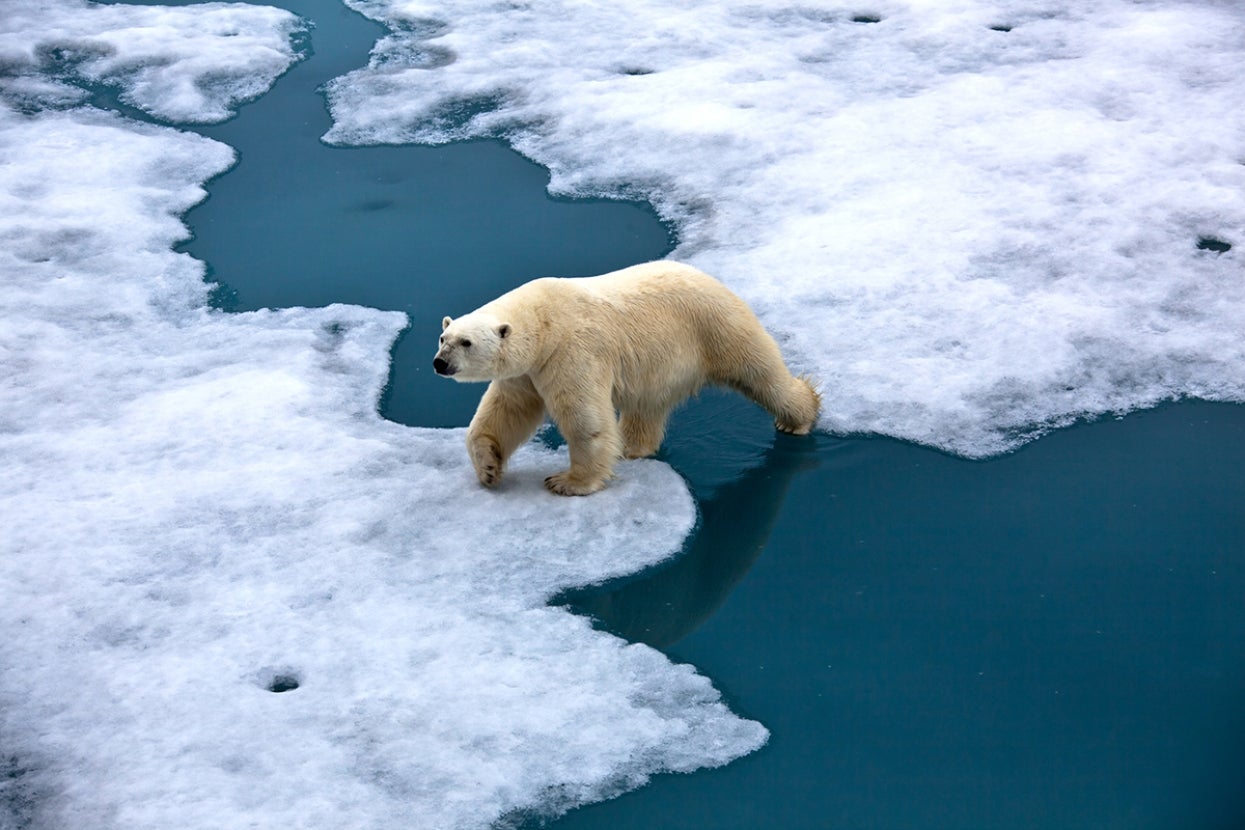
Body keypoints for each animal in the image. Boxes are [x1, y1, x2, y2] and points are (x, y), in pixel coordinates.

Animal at [433, 260, 820, 496]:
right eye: (443, 338)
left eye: (466, 342)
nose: (439, 363)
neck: (545, 320)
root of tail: (714, 279)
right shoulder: (527, 371)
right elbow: (505, 412)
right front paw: (488, 469)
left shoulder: (571, 352)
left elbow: (584, 419)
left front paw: (568, 482)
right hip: (661, 363)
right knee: (646, 407)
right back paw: (632, 448)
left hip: (717, 327)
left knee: (761, 374)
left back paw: (799, 416)